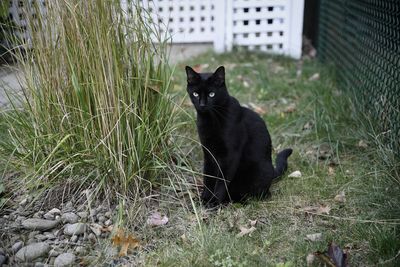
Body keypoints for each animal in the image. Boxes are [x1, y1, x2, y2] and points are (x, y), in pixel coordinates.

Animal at [186, 66, 292, 208]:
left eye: (212, 94)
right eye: (196, 94)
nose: (202, 105)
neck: (210, 119)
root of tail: (272, 171)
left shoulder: (229, 156)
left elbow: (221, 180)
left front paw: (214, 202)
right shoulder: (208, 153)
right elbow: (208, 177)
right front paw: (204, 199)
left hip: (259, 171)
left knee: (262, 193)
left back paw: (238, 200)